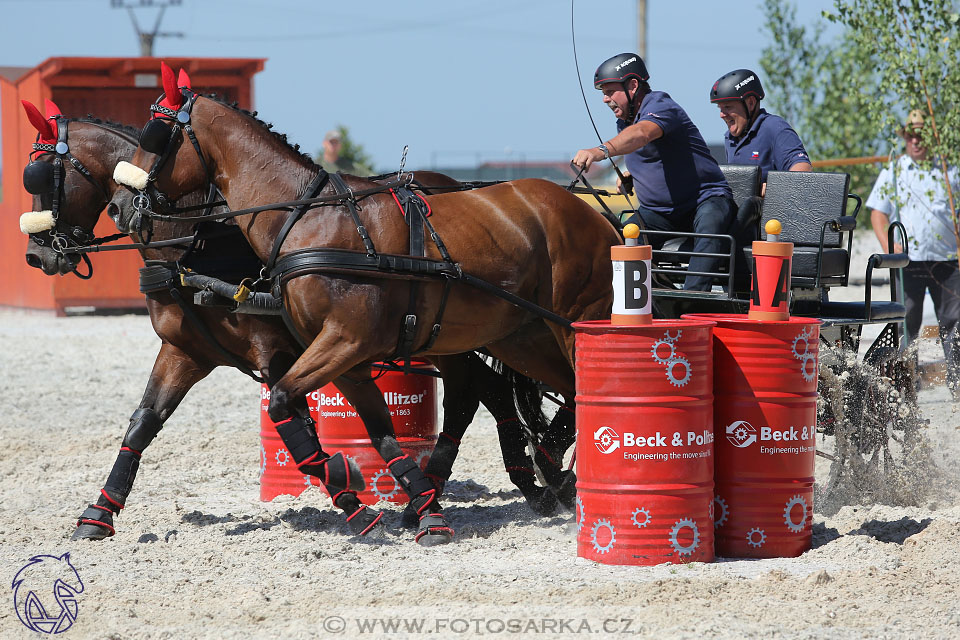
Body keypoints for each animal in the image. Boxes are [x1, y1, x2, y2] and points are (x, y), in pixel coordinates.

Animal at [16, 100, 568, 544]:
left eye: (41, 177)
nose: (38, 256)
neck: (198, 243)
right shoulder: (185, 352)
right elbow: (143, 423)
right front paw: (99, 513)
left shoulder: (280, 351)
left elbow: (300, 428)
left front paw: (352, 496)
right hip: (452, 336)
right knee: (485, 391)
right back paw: (511, 484)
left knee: (478, 392)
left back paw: (523, 481)